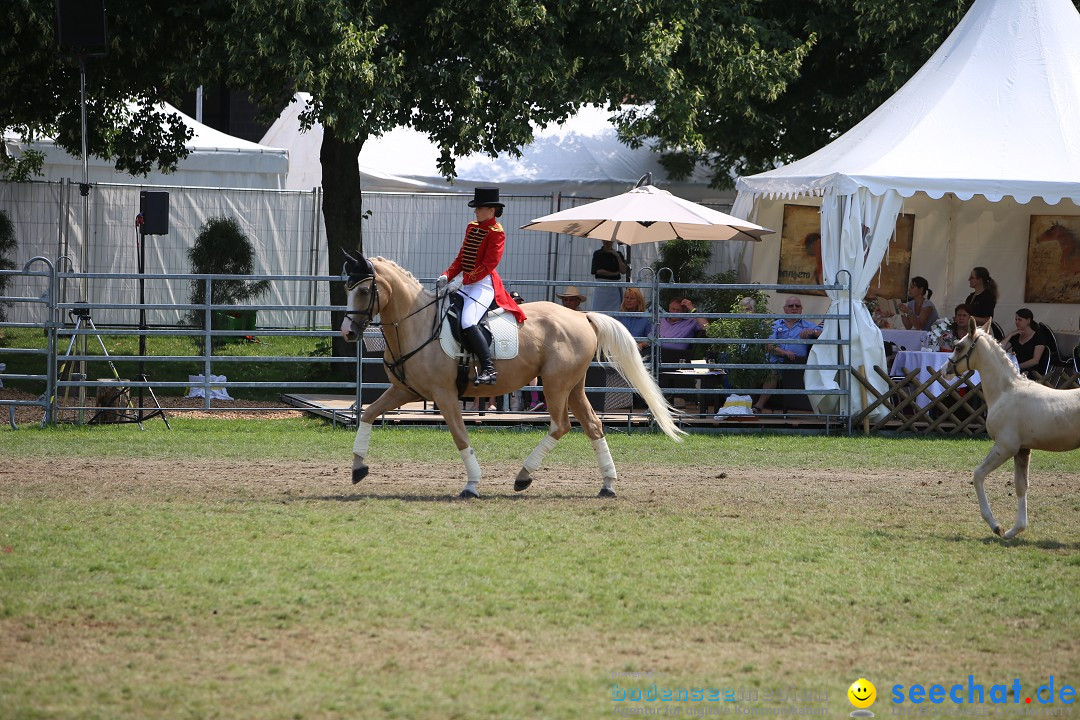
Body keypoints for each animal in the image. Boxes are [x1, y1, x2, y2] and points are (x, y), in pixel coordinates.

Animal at [336, 254, 682, 500]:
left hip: (555, 385)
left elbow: (460, 437)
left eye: (364, 290)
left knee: (561, 426)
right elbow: (368, 413)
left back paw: (523, 476)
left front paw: (472, 485)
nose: (348, 333)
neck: (419, 324)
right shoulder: (404, 391)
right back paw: (608, 484)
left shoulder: (445, 395)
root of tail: (581, 316)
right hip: (573, 387)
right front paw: (358, 468)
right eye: (347, 289)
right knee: (593, 426)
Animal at [946, 319, 1080, 535]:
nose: (945, 370)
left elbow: (978, 475)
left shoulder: (1005, 447)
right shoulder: (1022, 450)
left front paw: (996, 526)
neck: (1006, 392)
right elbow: (1021, 486)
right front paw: (1015, 530)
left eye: (959, 346)